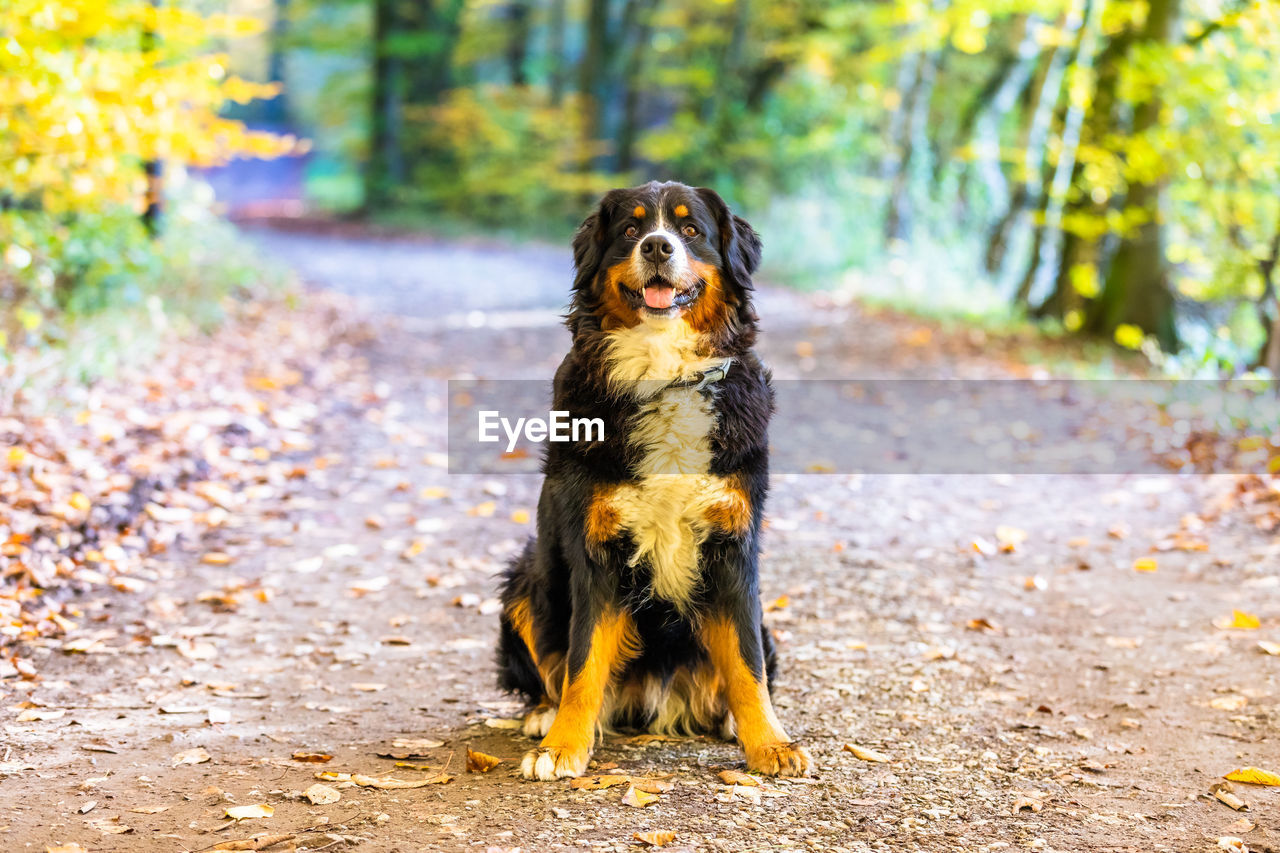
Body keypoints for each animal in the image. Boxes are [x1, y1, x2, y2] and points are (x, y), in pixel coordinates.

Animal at [496, 179, 808, 778]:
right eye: (630, 229)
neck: (664, 377)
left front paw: (769, 743)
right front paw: (563, 747)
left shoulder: (733, 547)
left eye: (690, 229)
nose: (659, 246)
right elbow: (583, 662)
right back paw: (543, 716)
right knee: (550, 670)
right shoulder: (596, 549)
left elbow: (748, 664)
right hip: (526, 576)